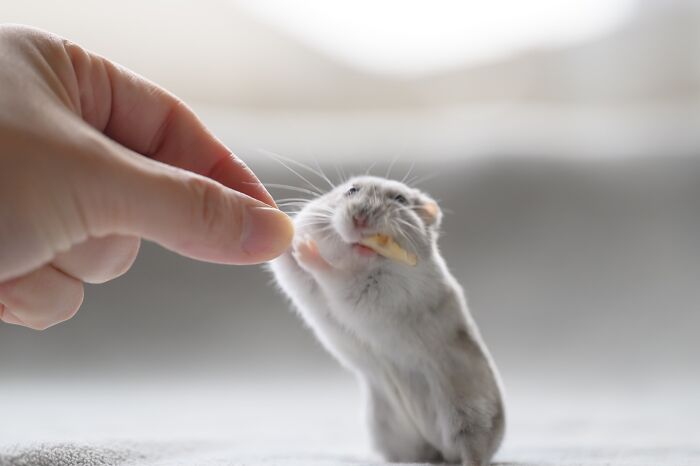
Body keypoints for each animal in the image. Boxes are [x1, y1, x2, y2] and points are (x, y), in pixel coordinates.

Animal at [269, 175, 505, 466]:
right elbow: (291, 266)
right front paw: (292, 235)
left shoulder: (380, 291)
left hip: (468, 416)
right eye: (351, 190)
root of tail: (437, 450)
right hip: (389, 431)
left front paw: (307, 249)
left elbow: (338, 275)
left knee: (473, 452)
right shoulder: (302, 285)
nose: (359, 220)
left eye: (399, 200)